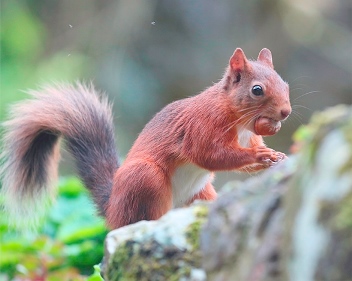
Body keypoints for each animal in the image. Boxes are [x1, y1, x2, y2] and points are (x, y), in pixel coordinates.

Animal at [0, 47, 292, 228]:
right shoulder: (203, 126)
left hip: (199, 195)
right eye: (257, 90)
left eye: (285, 84)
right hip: (146, 179)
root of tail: (112, 208)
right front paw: (259, 155)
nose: (286, 112)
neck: (240, 122)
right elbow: (210, 155)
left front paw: (275, 157)